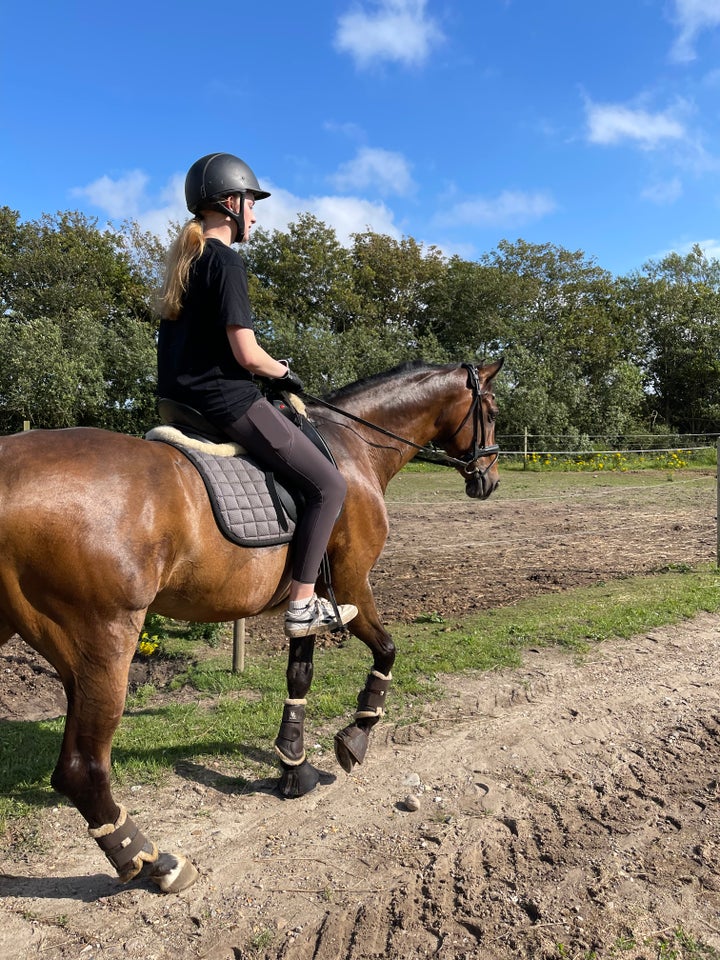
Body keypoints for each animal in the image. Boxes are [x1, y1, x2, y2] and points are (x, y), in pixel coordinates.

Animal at [0, 358, 504, 892]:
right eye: (491, 412)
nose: (488, 480)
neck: (354, 447)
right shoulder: (350, 585)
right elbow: (387, 650)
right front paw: (356, 736)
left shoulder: (309, 598)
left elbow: (299, 676)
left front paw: (293, 765)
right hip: (104, 644)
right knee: (82, 769)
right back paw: (153, 862)